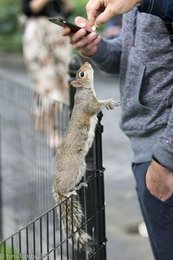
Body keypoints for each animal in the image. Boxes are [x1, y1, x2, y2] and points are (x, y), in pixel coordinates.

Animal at [52, 61, 120, 252]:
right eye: (81, 74)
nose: (88, 62)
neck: (84, 91)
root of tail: (56, 180)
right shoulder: (88, 105)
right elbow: (96, 107)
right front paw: (109, 102)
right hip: (74, 168)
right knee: (63, 188)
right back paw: (68, 191)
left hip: (80, 168)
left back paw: (80, 185)